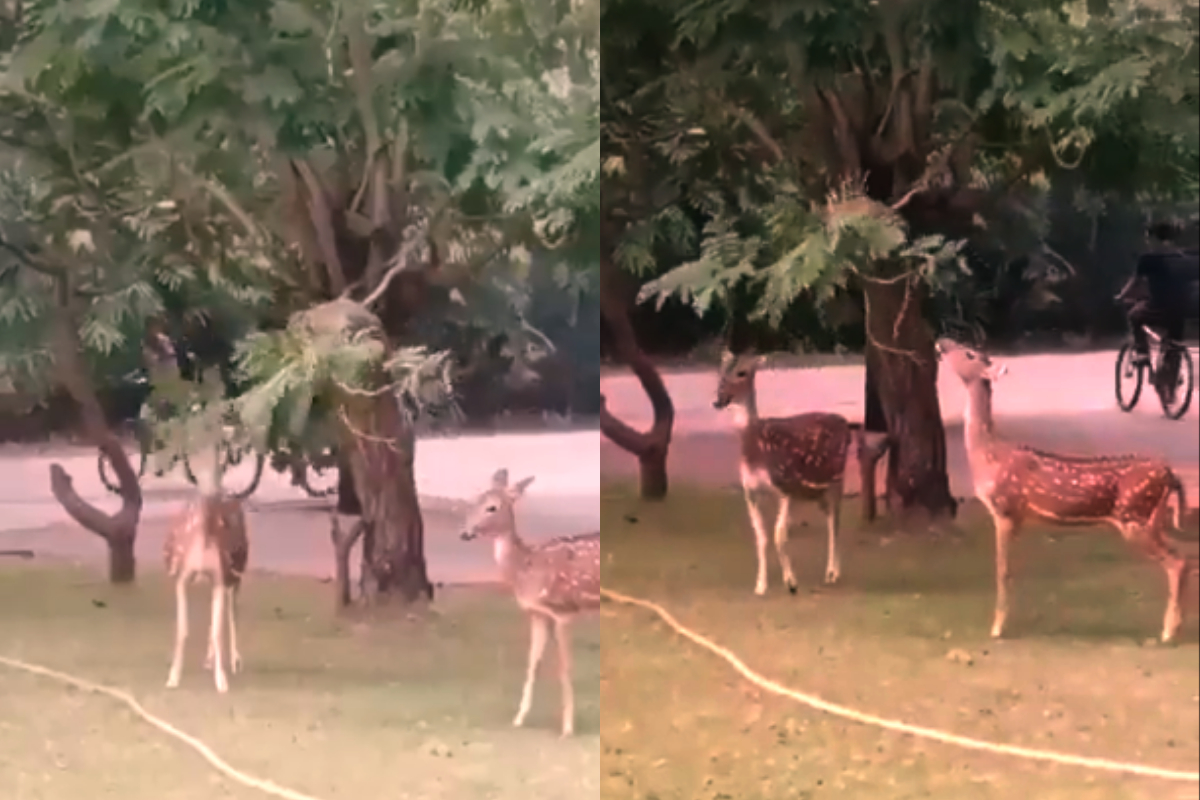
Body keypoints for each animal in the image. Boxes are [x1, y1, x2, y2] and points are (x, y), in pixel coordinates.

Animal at [164, 442, 249, 692]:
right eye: (192, 455)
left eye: (218, 456)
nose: (211, 491)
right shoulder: (181, 576)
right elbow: (182, 629)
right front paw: (173, 678)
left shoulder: (220, 574)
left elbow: (217, 629)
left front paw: (221, 682)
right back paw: (210, 661)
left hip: (238, 569)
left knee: (232, 611)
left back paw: (234, 662)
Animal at [460, 468, 600, 737]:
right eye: (474, 501)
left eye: (492, 507)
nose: (465, 533)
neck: (525, 569)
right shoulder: (537, 613)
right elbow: (533, 663)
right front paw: (519, 718)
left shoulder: (563, 611)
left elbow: (565, 667)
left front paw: (567, 728)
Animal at [714, 351, 866, 596]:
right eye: (720, 371)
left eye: (742, 372)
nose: (718, 400)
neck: (755, 448)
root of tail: (846, 423)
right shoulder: (750, 491)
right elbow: (761, 537)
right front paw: (760, 585)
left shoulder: (786, 486)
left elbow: (779, 535)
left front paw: (791, 583)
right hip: (817, 491)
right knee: (829, 517)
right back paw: (830, 572)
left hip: (836, 478)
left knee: (835, 521)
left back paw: (832, 574)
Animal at [935, 338, 1196, 643]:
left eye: (969, 353)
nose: (941, 341)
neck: (988, 456)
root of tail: (1170, 474)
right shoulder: (1019, 518)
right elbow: (1014, 570)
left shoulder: (1005, 509)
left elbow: (1002, 571)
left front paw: (997, 630)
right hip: (1152, 519)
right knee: (1184, 558)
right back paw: (1174, 627)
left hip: (1135, 517)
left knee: (1177, 562)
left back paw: (1167, 633)